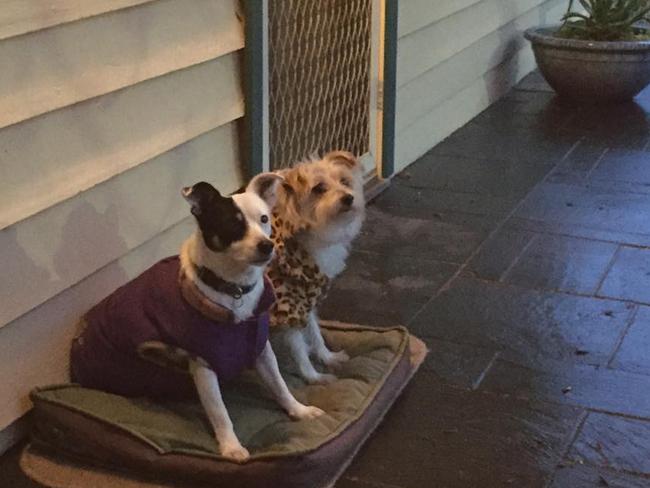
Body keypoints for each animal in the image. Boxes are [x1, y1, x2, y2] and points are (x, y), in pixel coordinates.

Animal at [69, 174, 322, 462]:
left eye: (264, 219)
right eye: (231, 224)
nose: (266, 245)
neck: (234, 290)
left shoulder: (260, 348)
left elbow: (279, 385)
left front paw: (299, 410)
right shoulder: (203, 364)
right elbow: (219, 412)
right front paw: (231, 447)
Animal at [264, 151, 364, 384]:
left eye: (345, 181)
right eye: (318, 188)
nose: (349, 197)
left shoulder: (306, 299)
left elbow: (315, 333)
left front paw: (327, 357)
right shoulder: (287, 310)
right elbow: (299, 349)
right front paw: (314, 377)